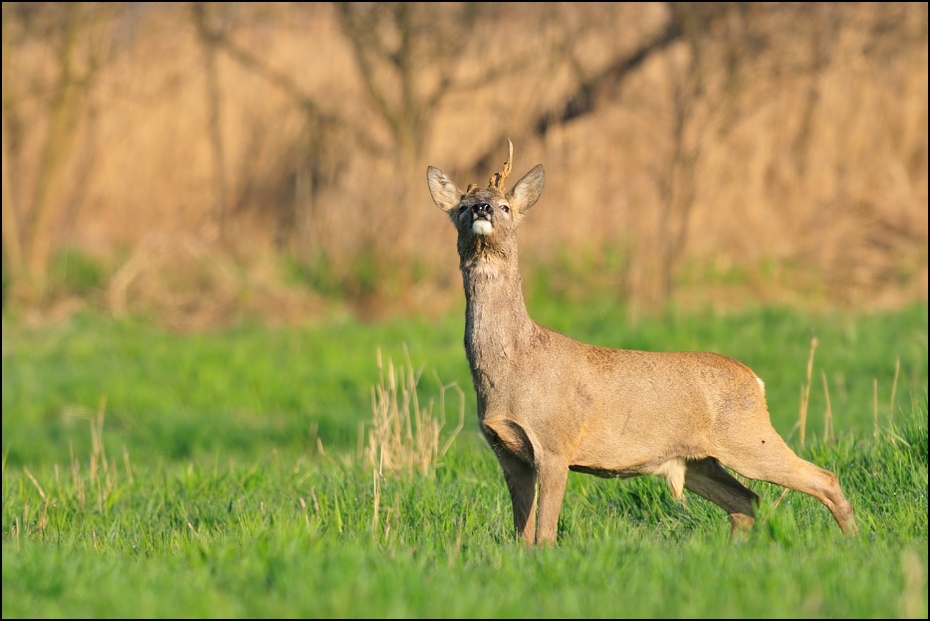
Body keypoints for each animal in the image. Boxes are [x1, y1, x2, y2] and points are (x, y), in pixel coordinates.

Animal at [426, 139, 856, 544]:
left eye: (504, 206)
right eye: (462, 207)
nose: (481, 209)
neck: (513, 363)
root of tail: (755, 379)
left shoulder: (555, 442)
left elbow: (545, 533)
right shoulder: (507, 453)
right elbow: (523, 535)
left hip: (748, 436)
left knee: (822, 478)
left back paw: (854, 541)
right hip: (698, 460)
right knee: (746, 500)